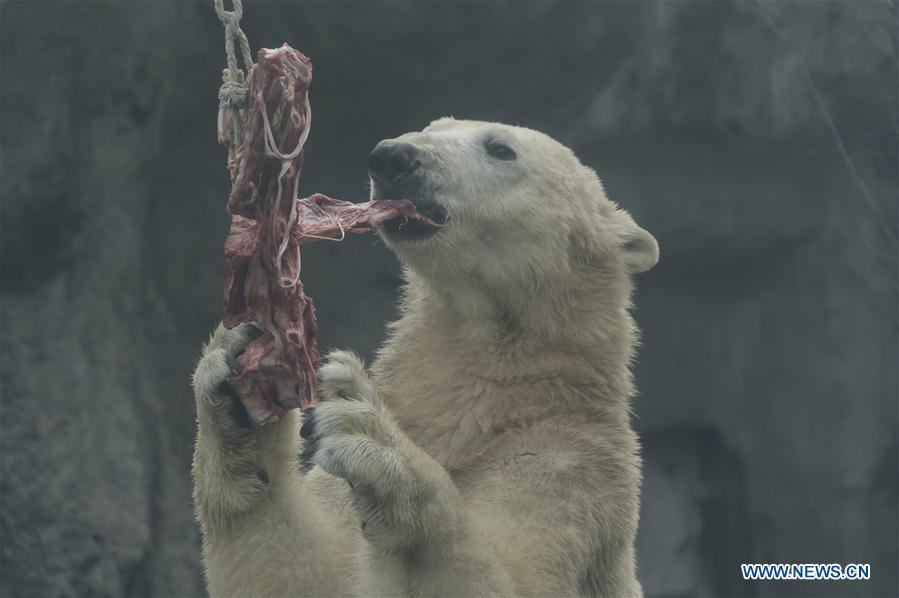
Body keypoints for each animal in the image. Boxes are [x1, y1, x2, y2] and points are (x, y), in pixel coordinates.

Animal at [191, 117, 658, 597]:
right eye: (433, 126)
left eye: (501, 148)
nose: (392, 157)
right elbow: (296, 577)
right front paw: (235, 382)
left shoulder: (571, 469)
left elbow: (511, 579)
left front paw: (378, 448)